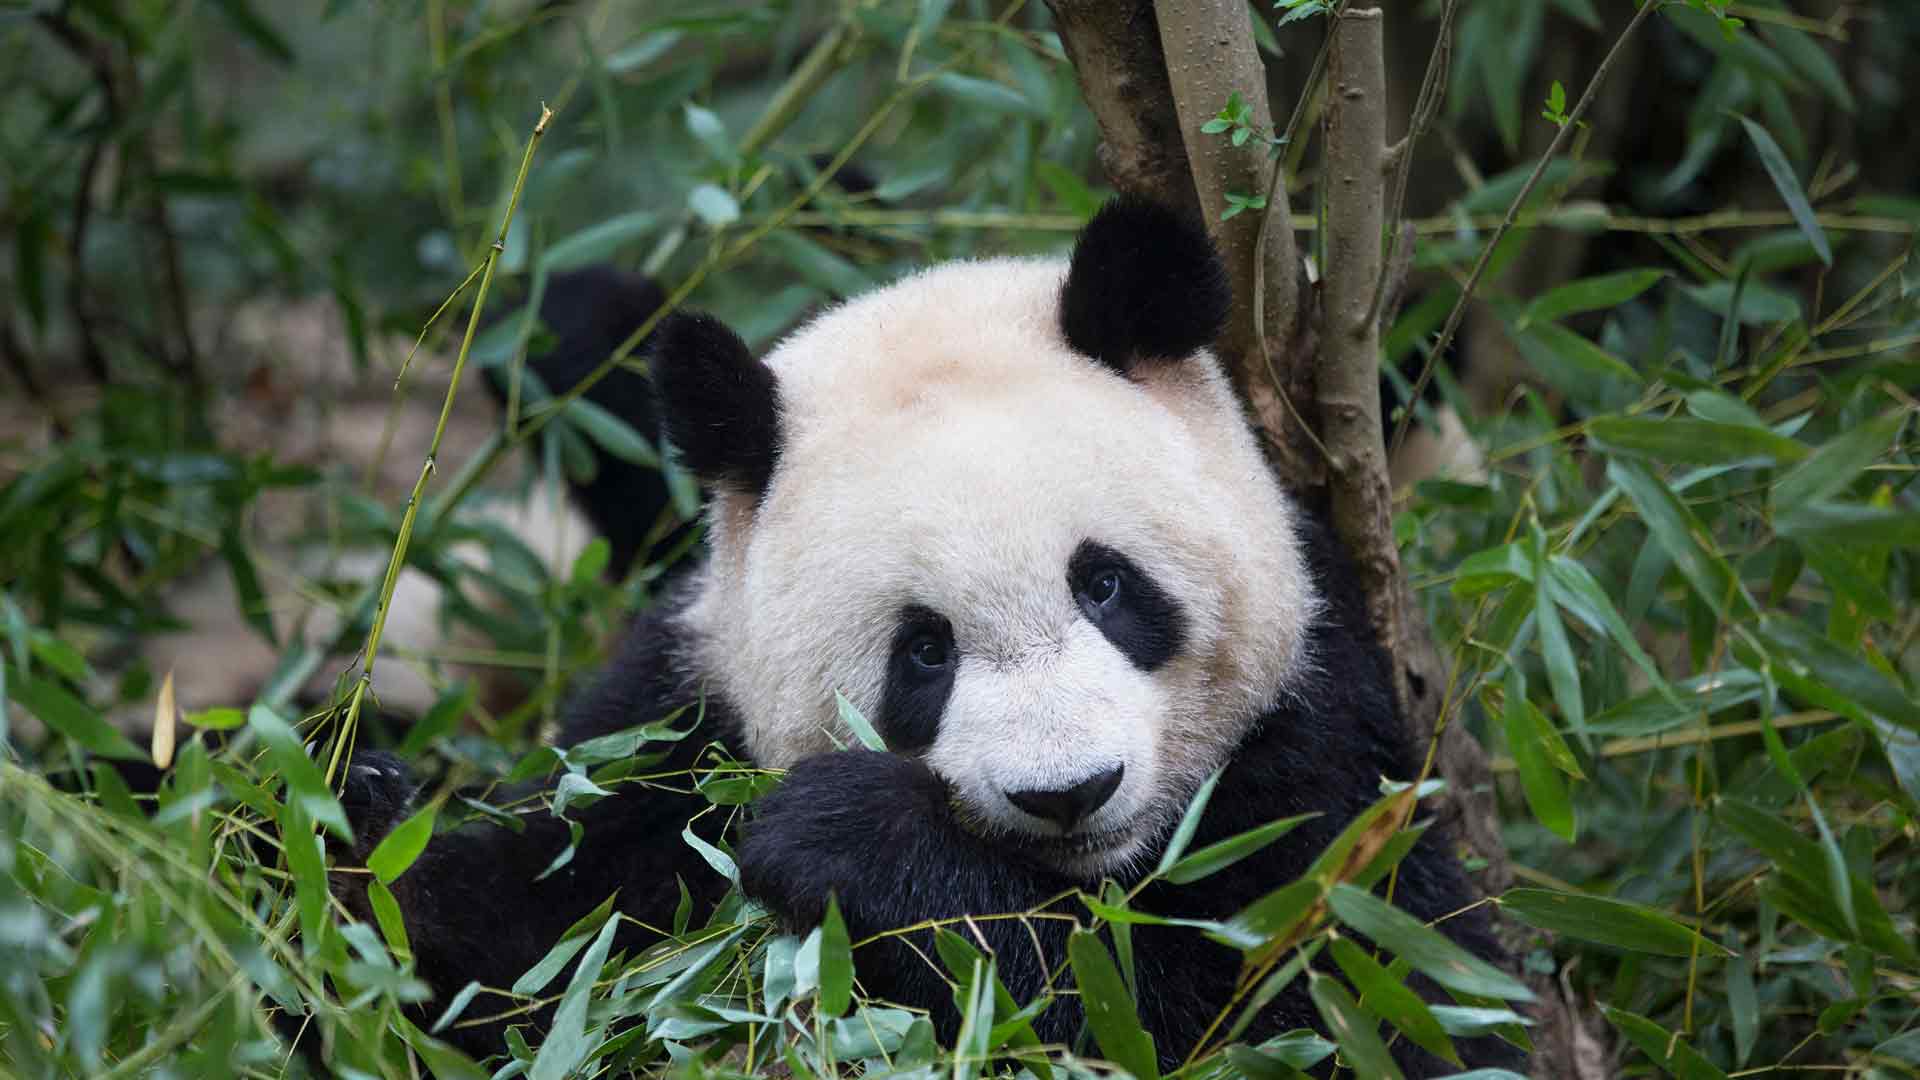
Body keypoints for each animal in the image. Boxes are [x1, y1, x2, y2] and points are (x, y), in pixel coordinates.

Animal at [337, 197, 1520, 1068]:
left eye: (1105, 585)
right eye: (923, 650)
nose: (1069, 793)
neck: (1095, 874)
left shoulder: (1323, 746)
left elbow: (1330, 1008)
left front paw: (853, 839)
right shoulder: (677, 734)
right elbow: (520, 942)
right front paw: (345, 831)